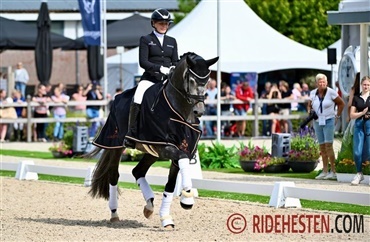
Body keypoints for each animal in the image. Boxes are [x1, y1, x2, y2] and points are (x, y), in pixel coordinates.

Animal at [86, 52, 220, 228]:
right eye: (191, 80)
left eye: (207, 81)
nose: (199, 111)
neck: (180, 109)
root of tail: (117, 98)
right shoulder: (168, 148)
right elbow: (183, 161)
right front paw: (187, 197)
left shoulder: (178, 148)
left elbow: (170, 184)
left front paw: (167, 216)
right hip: (116, 145)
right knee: (114, 176)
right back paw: (114, 214)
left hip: (152, 151)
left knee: (138, 171)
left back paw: (149, 205)